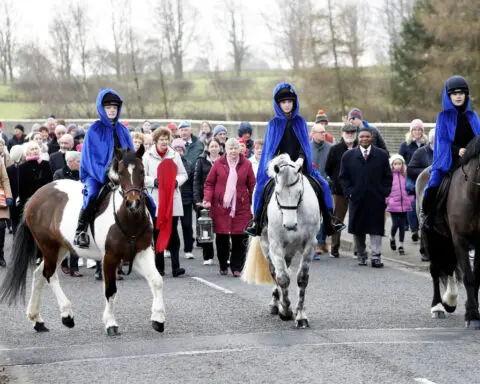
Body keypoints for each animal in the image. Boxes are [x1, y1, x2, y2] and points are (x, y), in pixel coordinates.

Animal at [0, 147, 165, 336]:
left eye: (142, 171)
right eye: (121, 172)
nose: (133, 203)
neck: (129, 219)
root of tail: (35, 196)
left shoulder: (142, 252)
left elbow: (156, 280)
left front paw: (158, 319)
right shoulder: (110, 257)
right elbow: (110, 290)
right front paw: (111, 323)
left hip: (61, 247)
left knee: (39, 275)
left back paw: (37, 320)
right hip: (48, 246)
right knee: (49, 274)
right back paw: (67, 315)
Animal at [242, 153, 320, 328]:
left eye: (299, 192)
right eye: (277, 193)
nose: (290, 225)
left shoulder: (309, 246)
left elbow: (302, 279)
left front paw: (300, 315)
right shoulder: (276, 246)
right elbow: (283, 278)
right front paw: (285, 310)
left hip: (290, 249)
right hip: (267, 245)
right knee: (275, 272)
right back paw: (275, 303)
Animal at [414, 135, 480, 328]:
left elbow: (476, 276)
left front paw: (471, 310)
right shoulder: (461, 239)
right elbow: (468, 277)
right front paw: (472, 316)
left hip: (446, 238)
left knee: (449, 266)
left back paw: (450, 300)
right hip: (432, 237)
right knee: (436, 269)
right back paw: (438, 306)